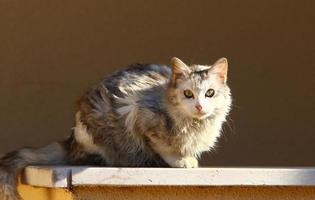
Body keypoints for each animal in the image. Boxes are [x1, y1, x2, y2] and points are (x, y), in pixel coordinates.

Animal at [0, 57, 232, 199]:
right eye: (188, 94)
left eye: (210, 93)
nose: (199, 106)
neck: (195, 125)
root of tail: (70, 140)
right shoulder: (138, 113)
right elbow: (164, 147)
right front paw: (181, 160)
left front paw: (187, 156)